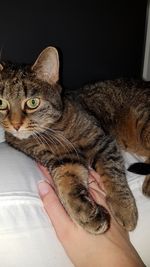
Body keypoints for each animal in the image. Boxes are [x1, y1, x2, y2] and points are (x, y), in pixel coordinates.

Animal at [0, 47, 149, 236]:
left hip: (143, 123)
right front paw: (85, 212)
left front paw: (124, 208)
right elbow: (67, 183)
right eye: (1, 103)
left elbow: (113, 174)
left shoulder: (102, 142)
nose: (15, 125)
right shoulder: (63, 159)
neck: (54, 131)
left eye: (32, 103)